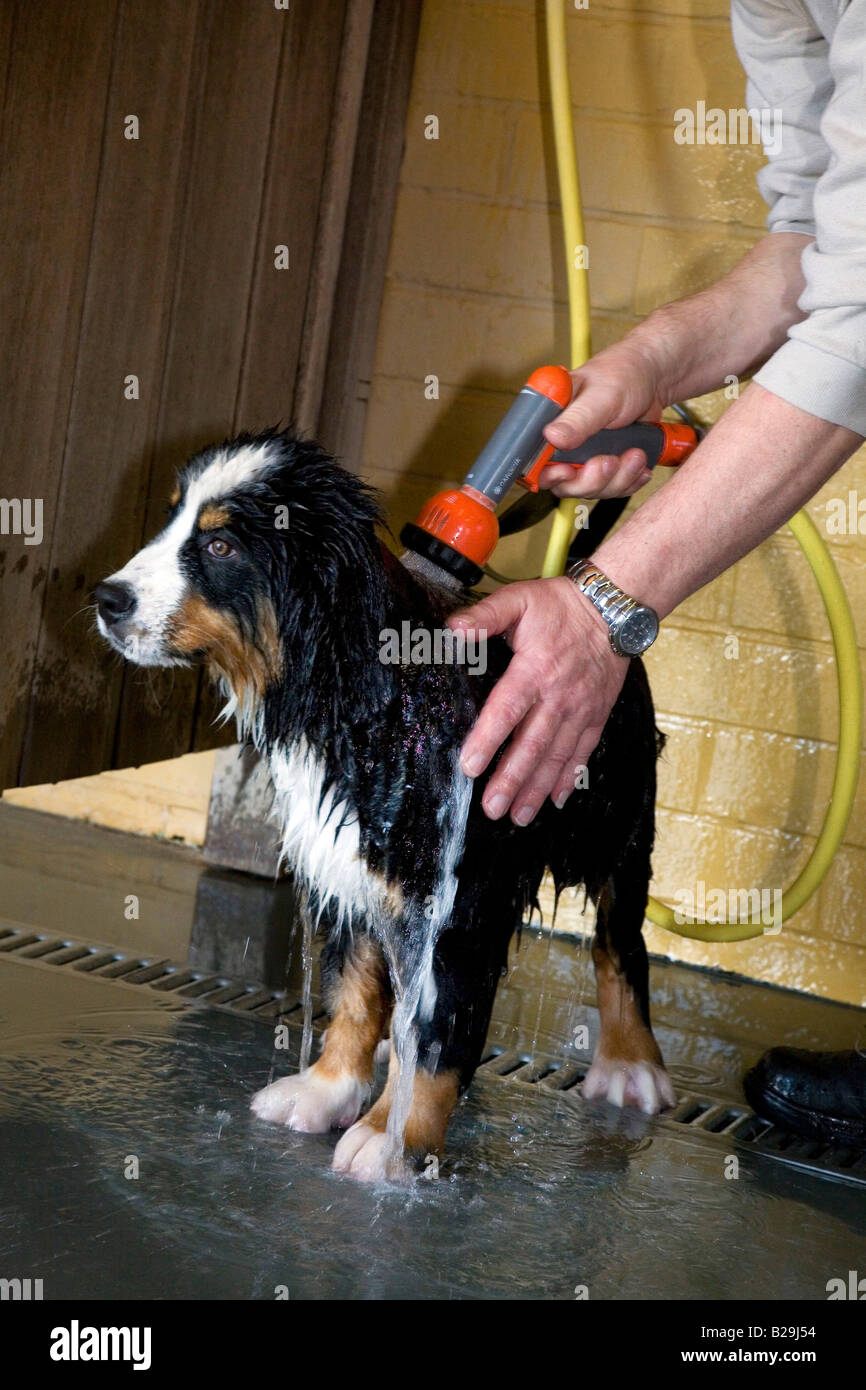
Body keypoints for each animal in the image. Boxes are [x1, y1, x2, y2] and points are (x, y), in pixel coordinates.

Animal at [96, 428, 678, 1178]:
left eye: (221, 546)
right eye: (171, 518)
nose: (107, 599)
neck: (371, 699)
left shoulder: (460, 895)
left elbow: (435, 1033)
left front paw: (394, 1136)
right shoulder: (348, 864)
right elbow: (352, 988)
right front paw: (326, 1089)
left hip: (617, 816)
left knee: (619, 939)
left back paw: (631, 1063)